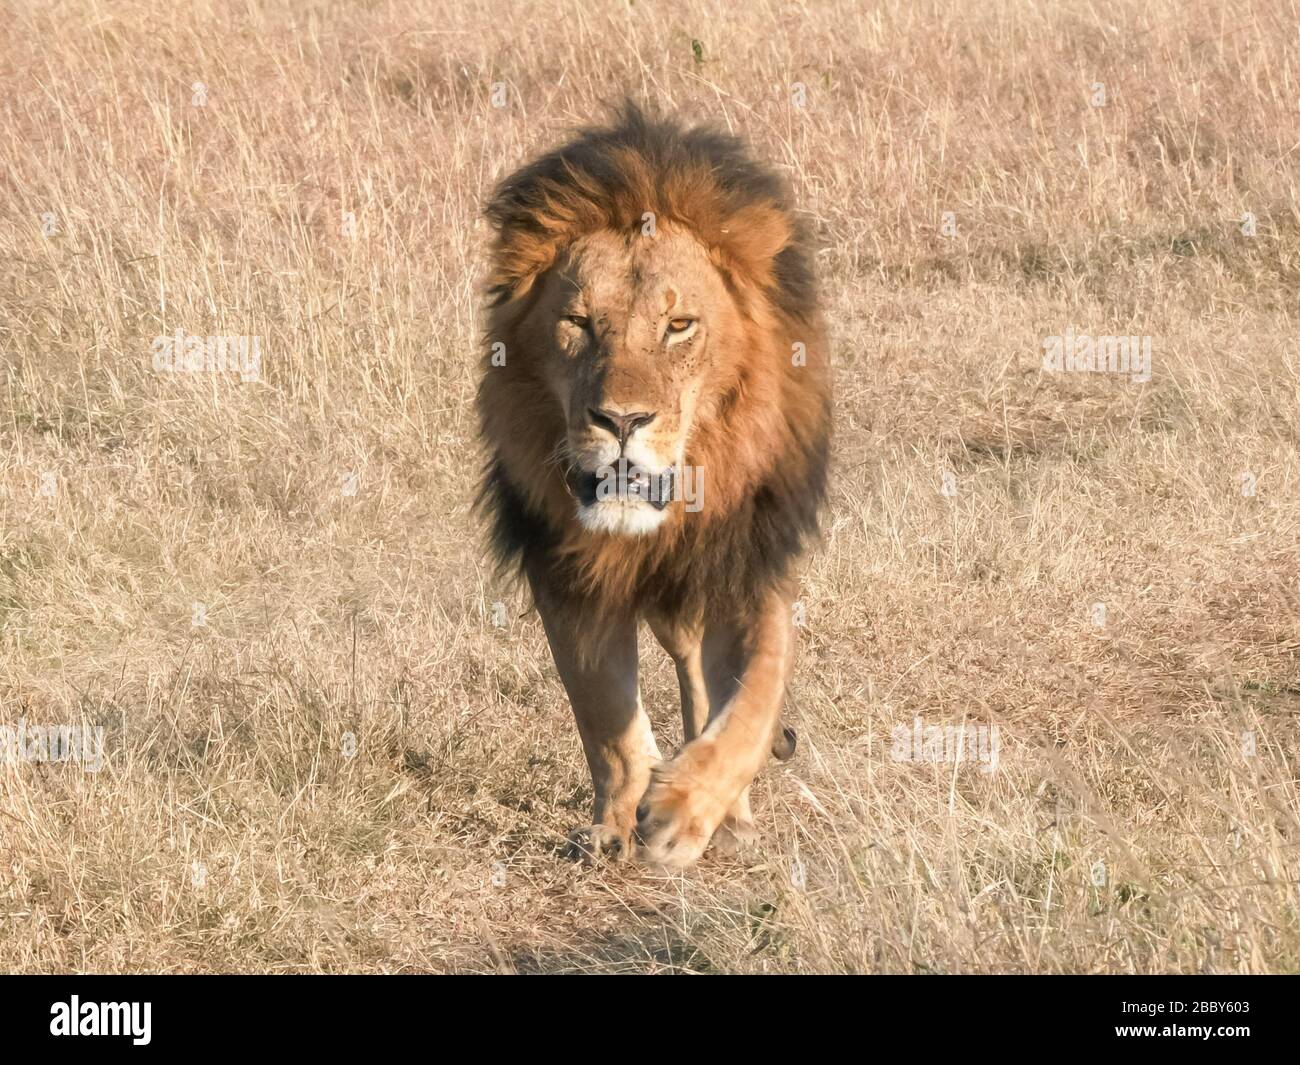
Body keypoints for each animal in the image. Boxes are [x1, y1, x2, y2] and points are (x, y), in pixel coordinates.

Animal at [477, 103, 830, 867]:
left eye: (679, 326)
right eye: (578, 323)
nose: (621, 420)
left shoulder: (749, 557)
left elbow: (754, 696)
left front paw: (684, 807)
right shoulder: (566, 570)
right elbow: (604, 713)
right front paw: (618, 821)